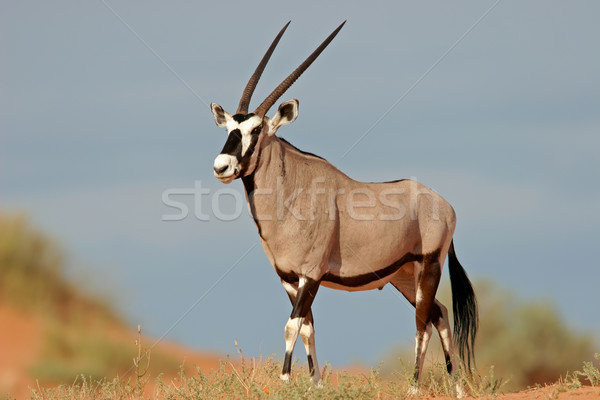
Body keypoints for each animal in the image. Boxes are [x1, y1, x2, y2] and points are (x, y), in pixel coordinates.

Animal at [211, 21, 478, 388]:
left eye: (256, 129)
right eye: (229, 128)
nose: (221, 166)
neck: (291, 192)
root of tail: (445, 204)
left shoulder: (311, 274)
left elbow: (291, 325)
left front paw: (285, 380)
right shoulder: (288, 278)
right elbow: (307, 327)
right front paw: (315, 384)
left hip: (429, 266)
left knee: (423, 322)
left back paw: (413, 387)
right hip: (404, 275)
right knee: (439, 313)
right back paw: (456, 387)